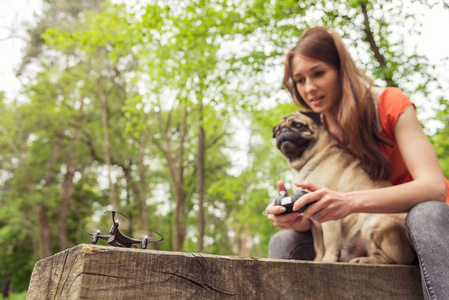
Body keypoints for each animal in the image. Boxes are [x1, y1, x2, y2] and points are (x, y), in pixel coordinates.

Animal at [272, 111, 414, 264]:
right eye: (278, 131)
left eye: (298, 125)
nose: (284, 132)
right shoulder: (313, 220)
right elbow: (319, 245)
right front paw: (317, 260)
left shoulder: (328, 214)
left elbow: (328, 242)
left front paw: (327, 260)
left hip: (375, 223)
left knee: (389, 259)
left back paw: (366, 260)